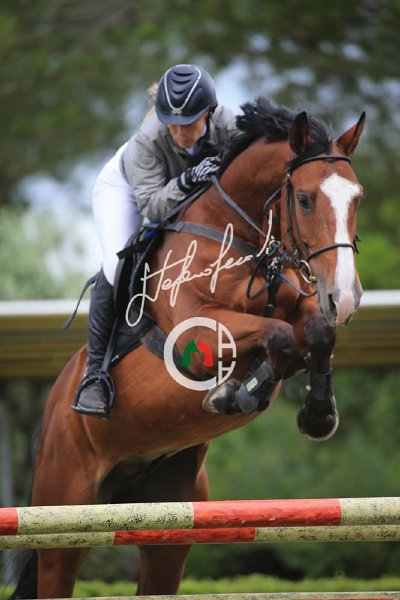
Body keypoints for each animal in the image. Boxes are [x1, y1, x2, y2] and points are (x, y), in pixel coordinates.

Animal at [10, 98, 365, 599]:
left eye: (358, 197)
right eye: (305, 199)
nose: (346, 297)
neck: (235, 235)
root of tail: (54, 405)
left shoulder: (301, 309)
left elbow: (314, 334)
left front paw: (317, 415)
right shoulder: (194, 334)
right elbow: (276, 335)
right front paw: (236, 392)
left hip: (169, 527)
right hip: (64, 519)